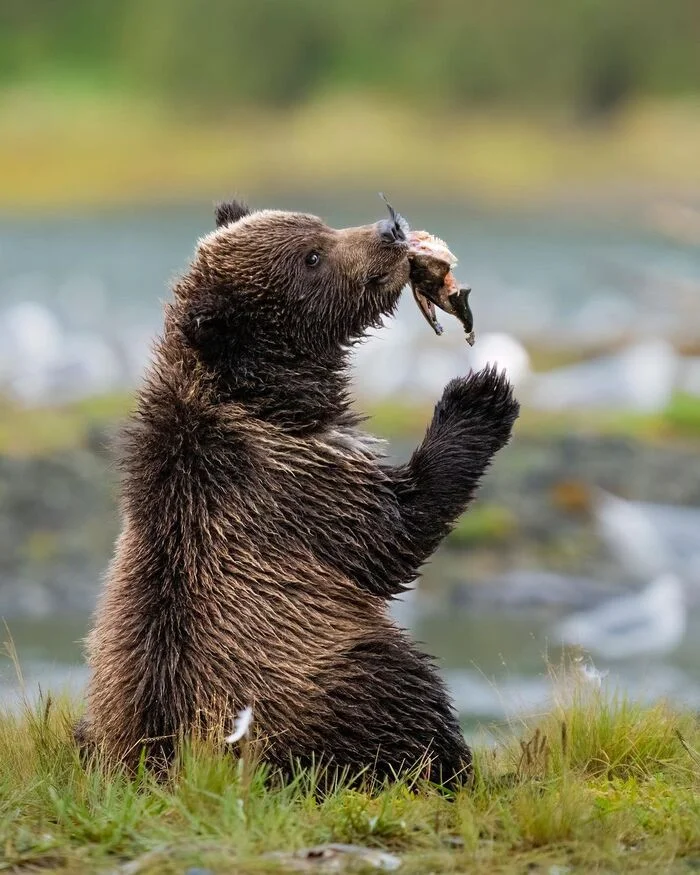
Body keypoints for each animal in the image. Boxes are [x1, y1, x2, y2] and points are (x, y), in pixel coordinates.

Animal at [80, 202, 520, 792]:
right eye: (311, 257)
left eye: (320, 225)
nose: (392, 230)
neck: (273, 400)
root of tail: (162, 765)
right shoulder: (288, 484)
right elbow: (392, 534)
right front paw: (479, 394)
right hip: (328, 675)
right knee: (406, 699)